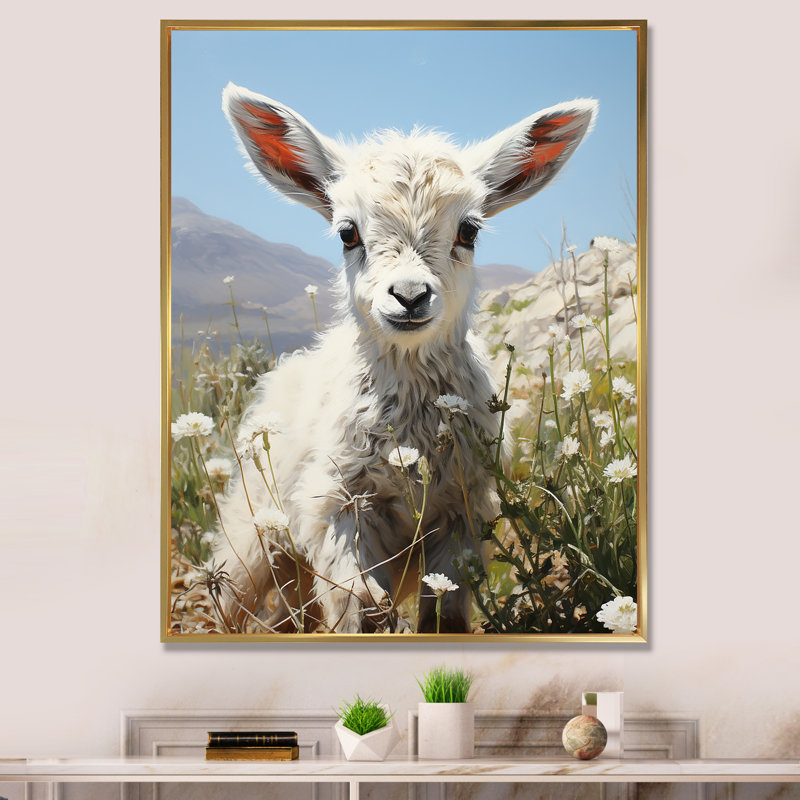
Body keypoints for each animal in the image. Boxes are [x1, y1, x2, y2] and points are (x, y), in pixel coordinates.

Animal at [213, 83, 596, 633]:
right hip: (254, 528)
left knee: (291, 608)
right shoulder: (337, 507)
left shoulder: (462, 518)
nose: (410, 296)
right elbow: (360, 611)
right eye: (347, 232)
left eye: (469, 230)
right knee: (234, 594)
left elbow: (446, 618)